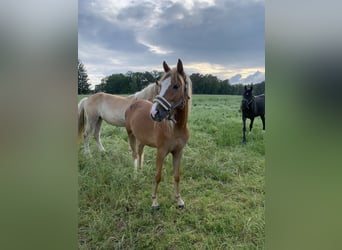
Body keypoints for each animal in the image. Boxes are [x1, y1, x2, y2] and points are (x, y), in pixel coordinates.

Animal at [125, 59, 192, 209]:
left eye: (176, 86)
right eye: (160, 85)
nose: (154, 113)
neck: (175, 128)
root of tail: (134, 103)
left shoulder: (178, 152)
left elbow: (177, 176)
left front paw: (179, 200)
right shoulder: (161, 151)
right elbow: (158, 176)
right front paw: (154, 201)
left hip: (141, 138)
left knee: (140, 151)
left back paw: (140, 171)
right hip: (130, 134)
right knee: (134, 154)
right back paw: (135, 175)